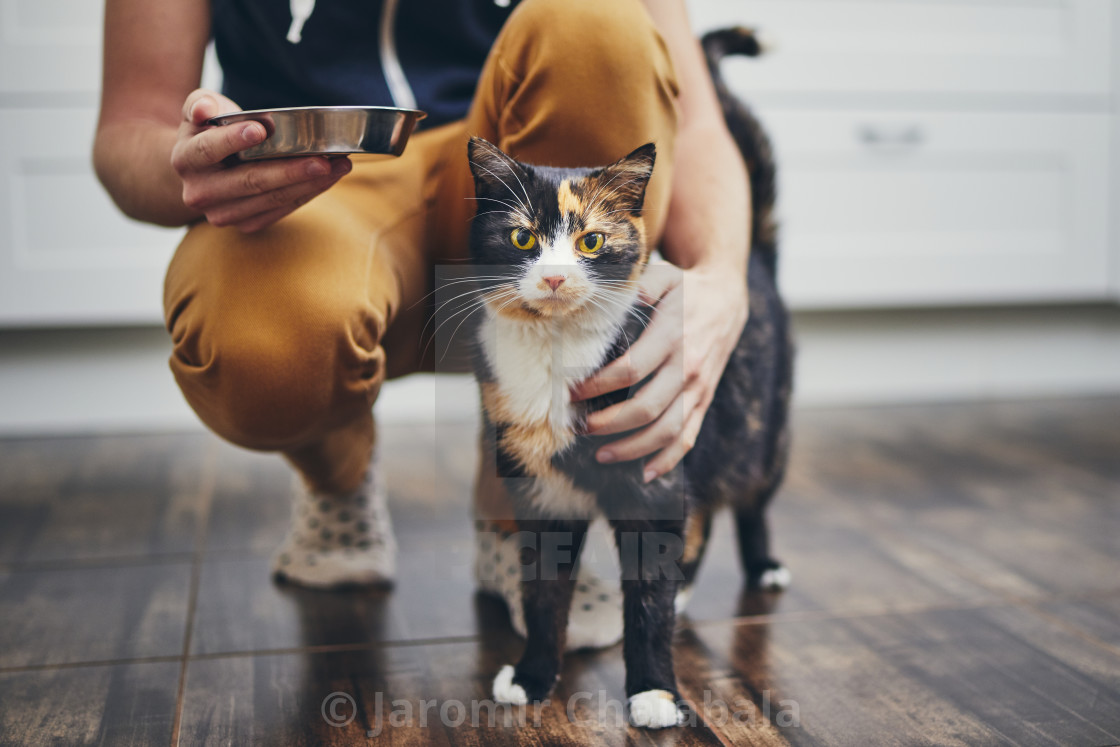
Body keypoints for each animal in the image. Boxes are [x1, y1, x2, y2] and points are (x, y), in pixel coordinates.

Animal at [461, 26, 788, 725]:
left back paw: (763, 564)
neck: (555, 355)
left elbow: (648, 601)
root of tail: (753, 259)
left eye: (591, 241)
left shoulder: (654, 479)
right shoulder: (541, 495)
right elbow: (542, 596)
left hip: (760, 430)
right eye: (523, 238)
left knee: (749, 498)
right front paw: (532, 678)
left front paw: (656, 692)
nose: (556, 277)